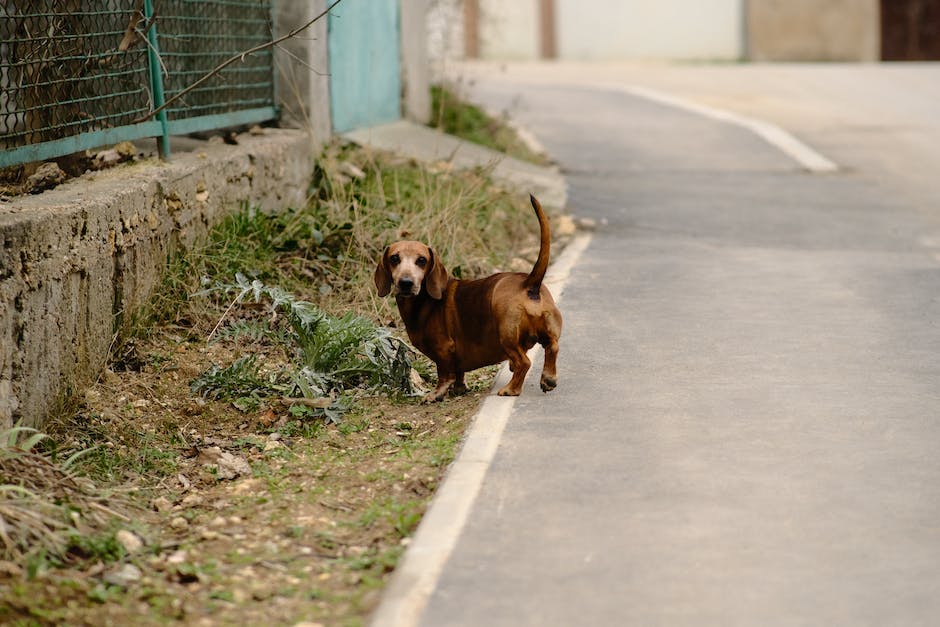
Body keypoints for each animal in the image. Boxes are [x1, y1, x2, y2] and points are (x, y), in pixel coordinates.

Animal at [374, 195, 560, 402]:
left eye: (421, 260)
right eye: (394, 258)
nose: (406, 283)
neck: (423, 302)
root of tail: (529, 283)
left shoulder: (443, 349)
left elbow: (444, 374)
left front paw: (436, 394)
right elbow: (459, 373)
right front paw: (459, 388)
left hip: (507, 336)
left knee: (524, 362)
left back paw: (511, 389)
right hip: (547, 330)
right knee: (552, 347)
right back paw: (548, 379)